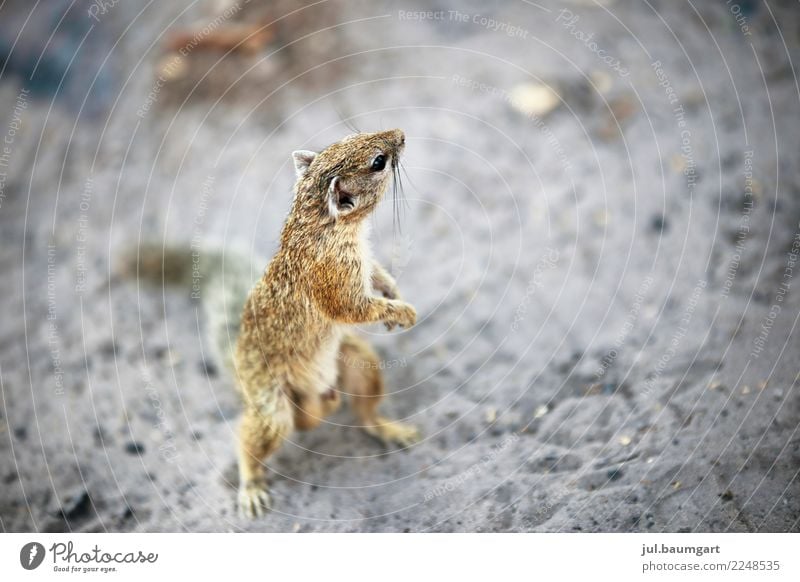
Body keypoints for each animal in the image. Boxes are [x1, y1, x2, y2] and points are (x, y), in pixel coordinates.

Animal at [125, 129, 418, 520]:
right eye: (378, 162)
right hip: (271, 406)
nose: (400, 135)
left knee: (363, 411)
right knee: (252, 439)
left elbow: (378, 276)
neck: (318, 225)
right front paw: (402, 312)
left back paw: (388, 428)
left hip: (358, 363)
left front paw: (394, 294)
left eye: (348, 139)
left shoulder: (364, 262)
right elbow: (353, 310)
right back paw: (251, 487)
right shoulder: (332, 279)